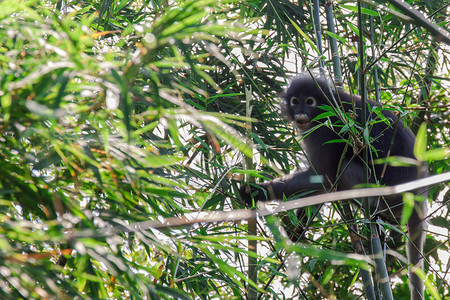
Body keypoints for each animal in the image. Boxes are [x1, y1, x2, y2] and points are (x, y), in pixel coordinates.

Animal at [241, 73, 428, 300]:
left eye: (309, 102)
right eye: (295, 101)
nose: (300, 111)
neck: (331, 106)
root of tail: (418, 195)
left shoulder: (328, 129)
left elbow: (323, 177)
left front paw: (255, 191)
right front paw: (295, 230)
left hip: (389, 198)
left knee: (344, 172)